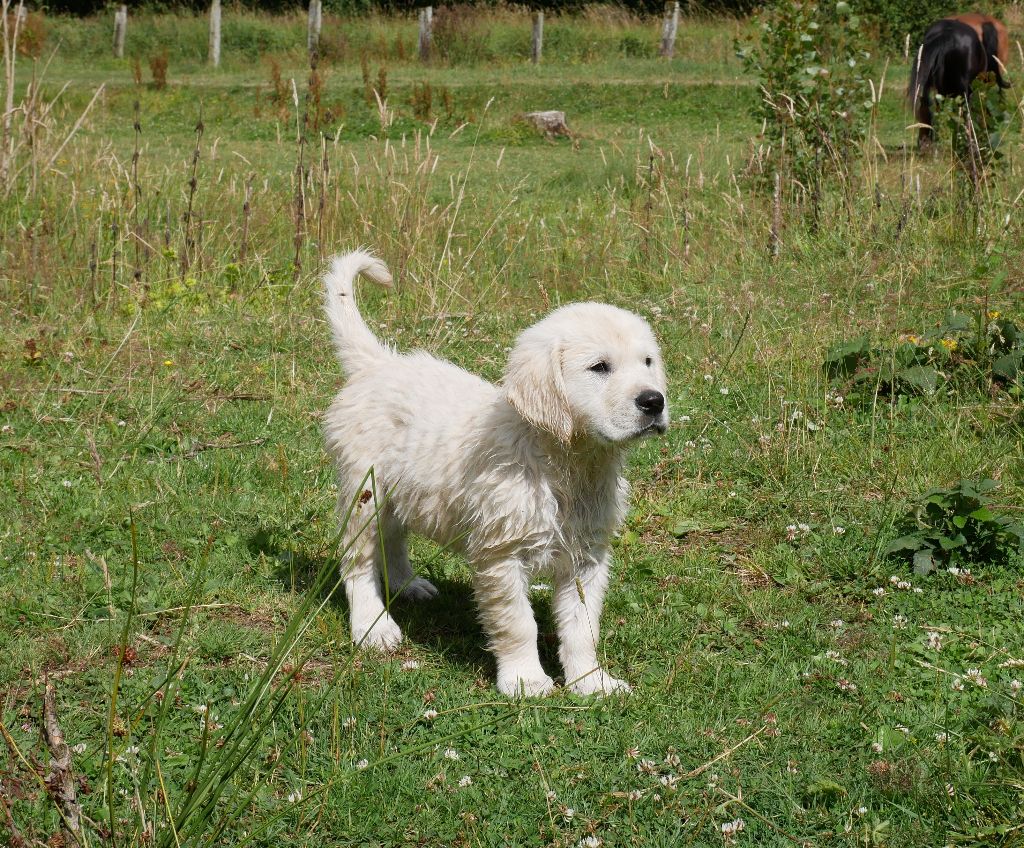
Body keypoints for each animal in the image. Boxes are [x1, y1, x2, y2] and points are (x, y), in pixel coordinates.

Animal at [323, 249, 667, 696]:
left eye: (647, 362)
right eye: (599, 367)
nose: (654, 401)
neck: (567, 463)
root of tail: (377, 365)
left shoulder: (587, 556)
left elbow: (582, 627)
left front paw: (592, 682)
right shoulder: (501, 554)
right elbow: (518, 623)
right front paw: (526, 680)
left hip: (400, 491)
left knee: (393, 536)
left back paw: (407, 584)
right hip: (365, 490)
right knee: (358, 561)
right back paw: (373, 627)